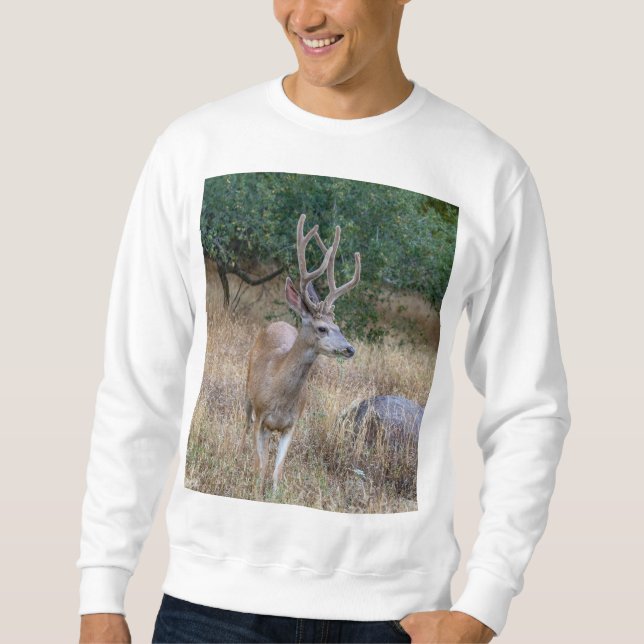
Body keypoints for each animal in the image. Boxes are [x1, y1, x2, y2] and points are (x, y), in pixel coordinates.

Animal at [241, 213, 361, 497]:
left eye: (339, 327)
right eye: (322, 328)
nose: (350, 348)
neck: (281, 395)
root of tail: (277, 323)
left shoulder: (291, 425)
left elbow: (276, 471)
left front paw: (273, 496)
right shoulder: (261, 416)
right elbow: (260, 466)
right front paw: (254, 491)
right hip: (247, 390)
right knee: (243, 424)